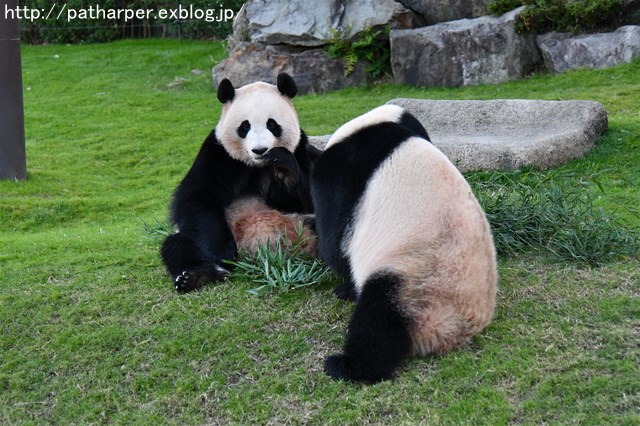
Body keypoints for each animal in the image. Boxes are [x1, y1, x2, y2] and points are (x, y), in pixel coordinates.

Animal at [160, 73, 320, 292]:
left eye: (272, 124)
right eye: (245, 126)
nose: (260, 150)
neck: (256, 164)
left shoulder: (300, 149)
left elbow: (307, 200)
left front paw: (283, 166)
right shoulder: (219, 154)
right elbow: (195, 197)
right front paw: (222, 253)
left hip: (301, 222)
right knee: (177, 245)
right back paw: (197, 275)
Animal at [310, 105, 500, 384]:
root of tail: (455, 329)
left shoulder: (344, 174)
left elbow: (336, 241)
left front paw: (345, 287)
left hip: (415, 282)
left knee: (378, 319)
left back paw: (347, 366)